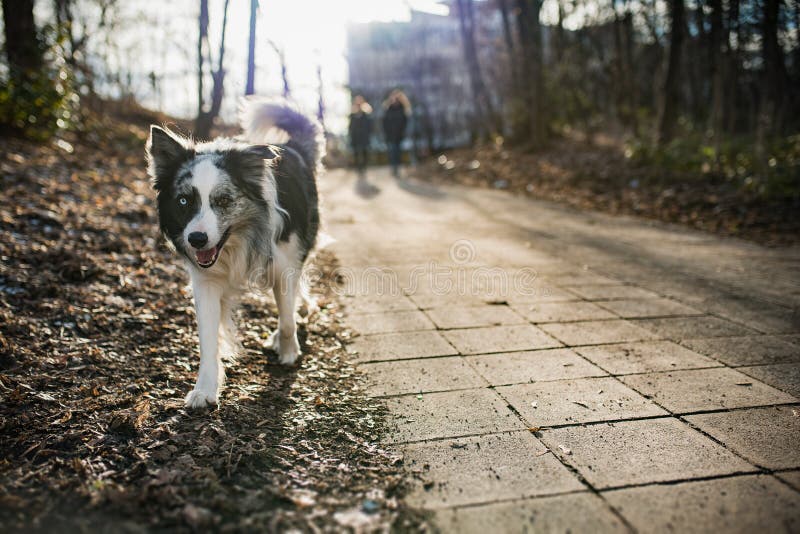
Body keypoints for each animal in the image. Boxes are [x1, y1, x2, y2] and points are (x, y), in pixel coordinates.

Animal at [145, 100, 324, 410]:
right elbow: (207, 340)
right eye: (183, 201)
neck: (237, 241)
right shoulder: (205, 282)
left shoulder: (285, 265)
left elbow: (287, 319)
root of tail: (292, 146)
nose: (196, 239)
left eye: (224, 200)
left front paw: (288, 351)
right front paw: (205, 389)